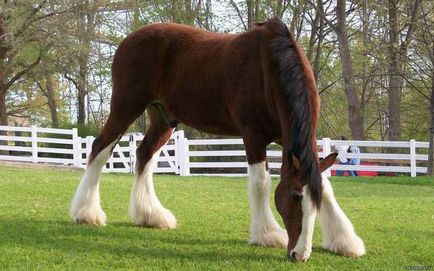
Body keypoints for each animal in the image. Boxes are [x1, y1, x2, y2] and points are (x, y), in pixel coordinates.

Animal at [69, 16, 364, 262]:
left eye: (314, 203)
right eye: (293, 197)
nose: (299, 255)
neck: (269, 68)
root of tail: (129, 39)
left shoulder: (286, 139)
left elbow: (325, 184)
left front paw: (345, 241)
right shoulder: (253, 136)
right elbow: (261, 183)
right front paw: (267, 235)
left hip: (163, 118)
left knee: (144, 155)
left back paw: (150, 216)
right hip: (126, 106)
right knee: (100, 149)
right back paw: (86, 213)